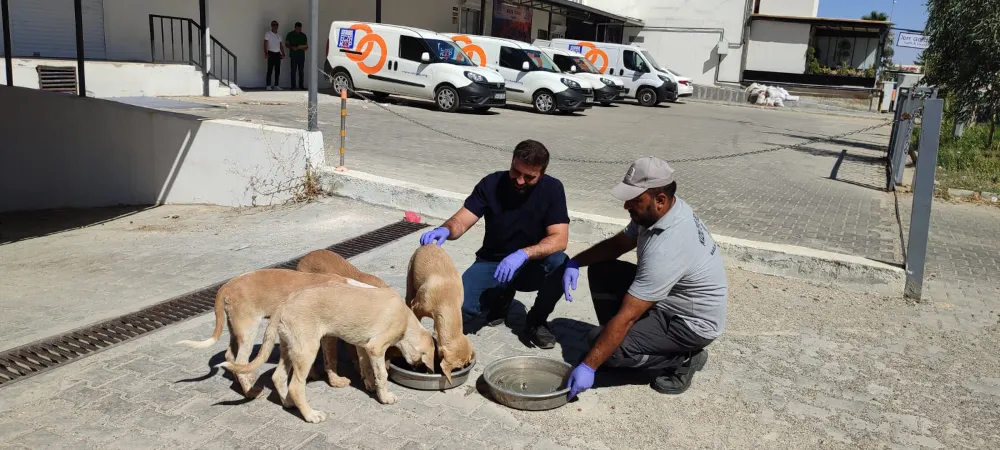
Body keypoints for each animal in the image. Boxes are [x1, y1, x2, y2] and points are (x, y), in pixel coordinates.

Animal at [178, 268, 358, 396]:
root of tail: (226, 286)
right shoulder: (327, 336)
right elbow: (331, 359)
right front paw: (336, 381)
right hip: (248, 329)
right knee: (241, 359)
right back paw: (250, 392)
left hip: (235, 329)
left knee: (230, 356)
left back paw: (243, 378)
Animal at [404, 244, 474, 384]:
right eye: (457, 367)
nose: (463, 368)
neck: (448, 301)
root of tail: (429, 244)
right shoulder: (417, 306)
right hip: (410, 279)